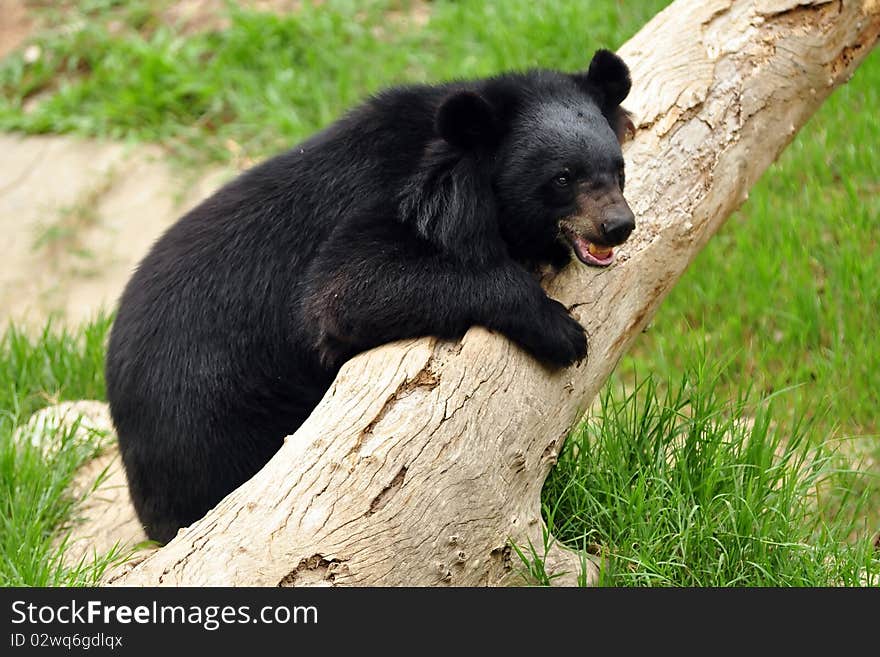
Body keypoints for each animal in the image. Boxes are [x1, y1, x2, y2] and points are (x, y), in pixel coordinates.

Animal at [106, 48, 636, 540]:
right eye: (562, 178)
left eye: (617, 169)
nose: (618, 225)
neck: (459, 177)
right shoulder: (385, 206)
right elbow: (343, 293)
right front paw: (562, 331)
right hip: (212, 419)